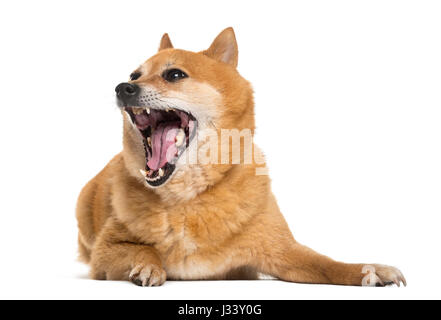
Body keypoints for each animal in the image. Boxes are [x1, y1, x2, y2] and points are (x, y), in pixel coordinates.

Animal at [75, 28, 406, 288]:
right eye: (134, 75)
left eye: (174, 75)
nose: (123, 87)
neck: (189, 198)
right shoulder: (105, 252)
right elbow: (143, 249)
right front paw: (147, 265)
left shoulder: (283, 251)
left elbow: (326, 265)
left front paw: (367, 271)